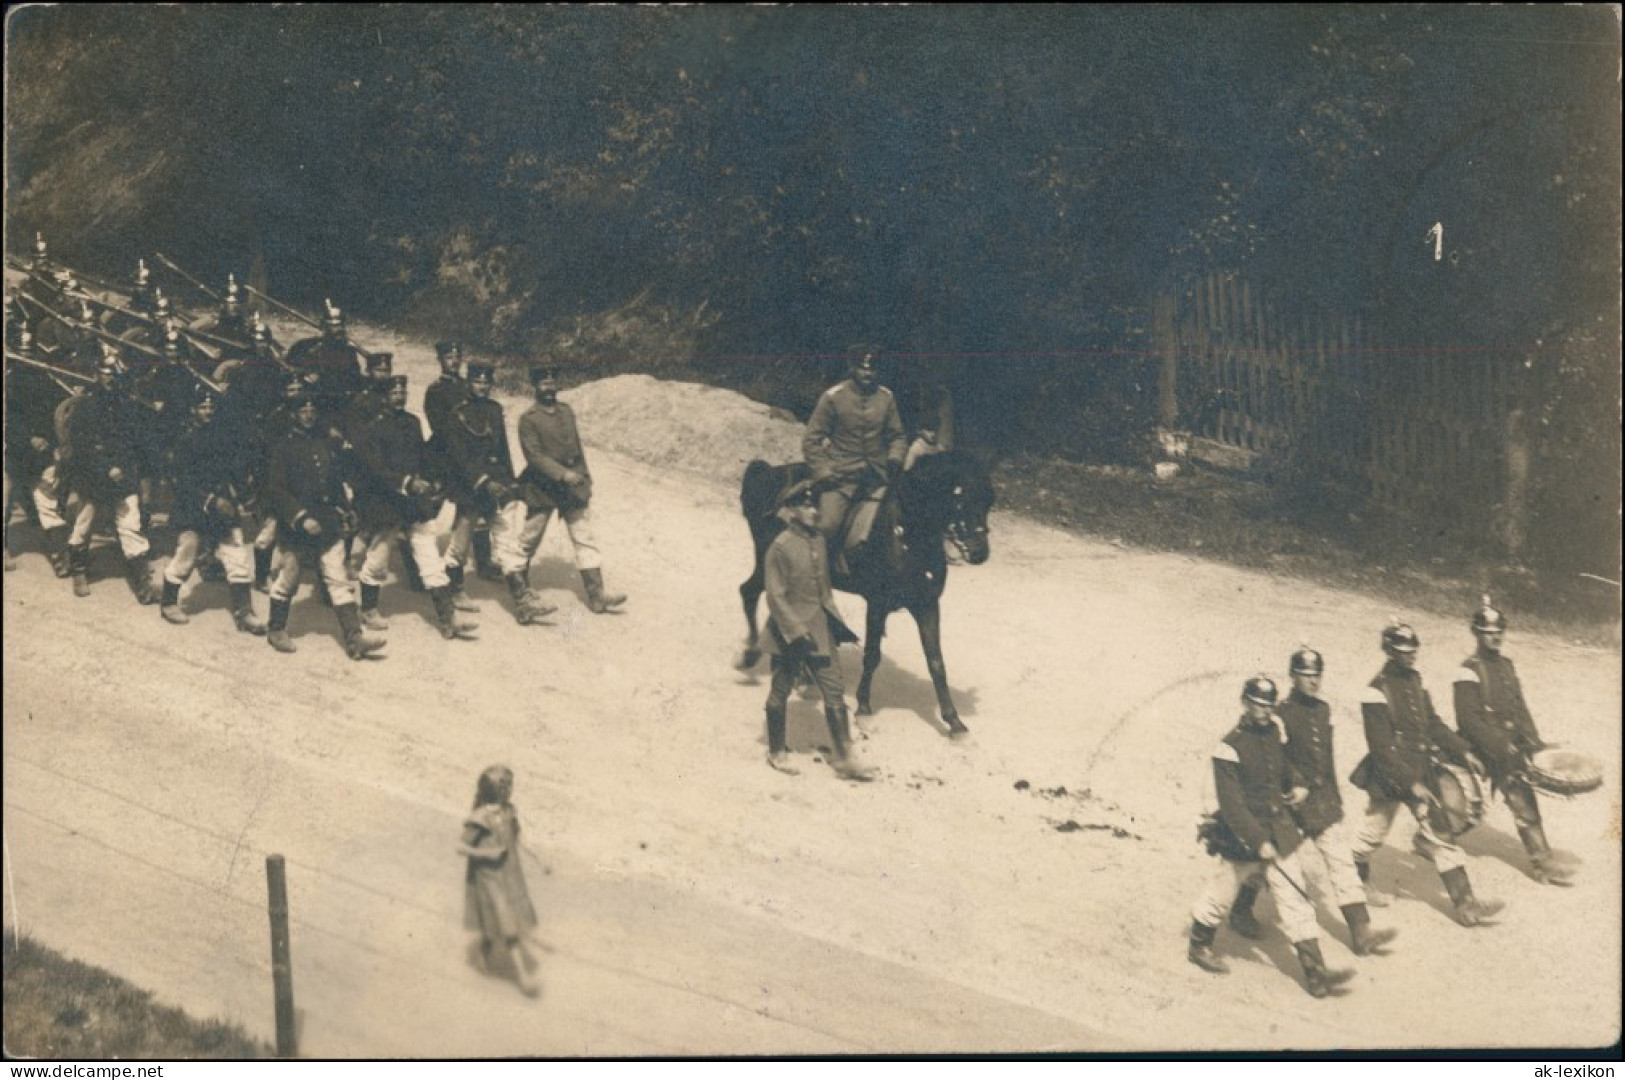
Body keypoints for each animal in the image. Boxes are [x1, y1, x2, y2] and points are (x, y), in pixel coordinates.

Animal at [734, 451, 988, 737]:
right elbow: (872, 655)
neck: (905, 534)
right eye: (960, 498)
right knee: (749, 592)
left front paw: (954, 721)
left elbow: (936, 662)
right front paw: (864, 708)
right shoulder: (877, 604)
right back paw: (752, 654)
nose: (980, 553)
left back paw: (803, 677)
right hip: (769, 567)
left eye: (988, 500)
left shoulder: (927, 605)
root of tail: (767, 472)